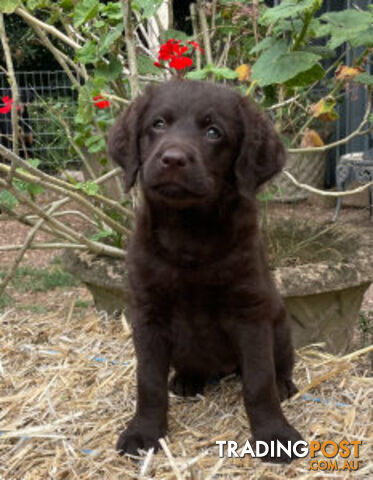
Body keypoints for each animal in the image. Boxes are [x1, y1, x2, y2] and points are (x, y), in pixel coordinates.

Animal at [107, 80, 302, 464]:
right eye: (158, 125)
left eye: (214, 132)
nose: (172, 159)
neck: (189, 233)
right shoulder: (148, 314)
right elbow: (148, 381)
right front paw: (143, 432)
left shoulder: (250, 314)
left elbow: (259, 382)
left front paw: (274, 434)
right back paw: (186, 380)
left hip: (280, 326)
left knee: (279, 365)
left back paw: (285, 383)